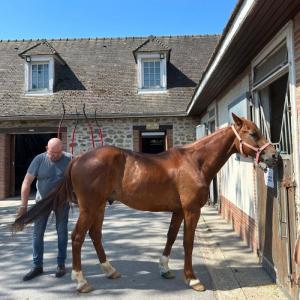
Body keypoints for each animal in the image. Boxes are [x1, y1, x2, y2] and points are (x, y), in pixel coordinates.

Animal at [12, 113, 278, 292]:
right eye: (253, 133)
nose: (273, 156)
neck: (195, 162)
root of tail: (77, 159)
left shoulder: (178, 211)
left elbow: (171, 237)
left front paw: (165, 268)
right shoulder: (191, 211)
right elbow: (188, 243)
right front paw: (192, 278)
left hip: (99, 207)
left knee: (95, 234)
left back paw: (110, 270)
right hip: (89, 207)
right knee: (77, 237)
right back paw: (81, 281)